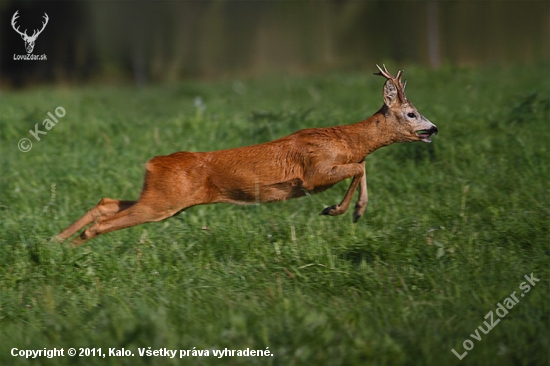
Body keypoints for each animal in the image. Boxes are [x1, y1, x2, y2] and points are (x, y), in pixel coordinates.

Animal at [56, 67, 440, 247]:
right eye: (411, 113)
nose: (434, 128)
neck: (345, 140)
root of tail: (153, 162)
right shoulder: (313, 172)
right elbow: (359, 166)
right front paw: (347, 210)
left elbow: (361, 166)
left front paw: (340, 210)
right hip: (163, 202)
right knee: (104, 222)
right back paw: (69, 247)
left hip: (163, 197)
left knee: (106, 202)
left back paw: (53, 242)